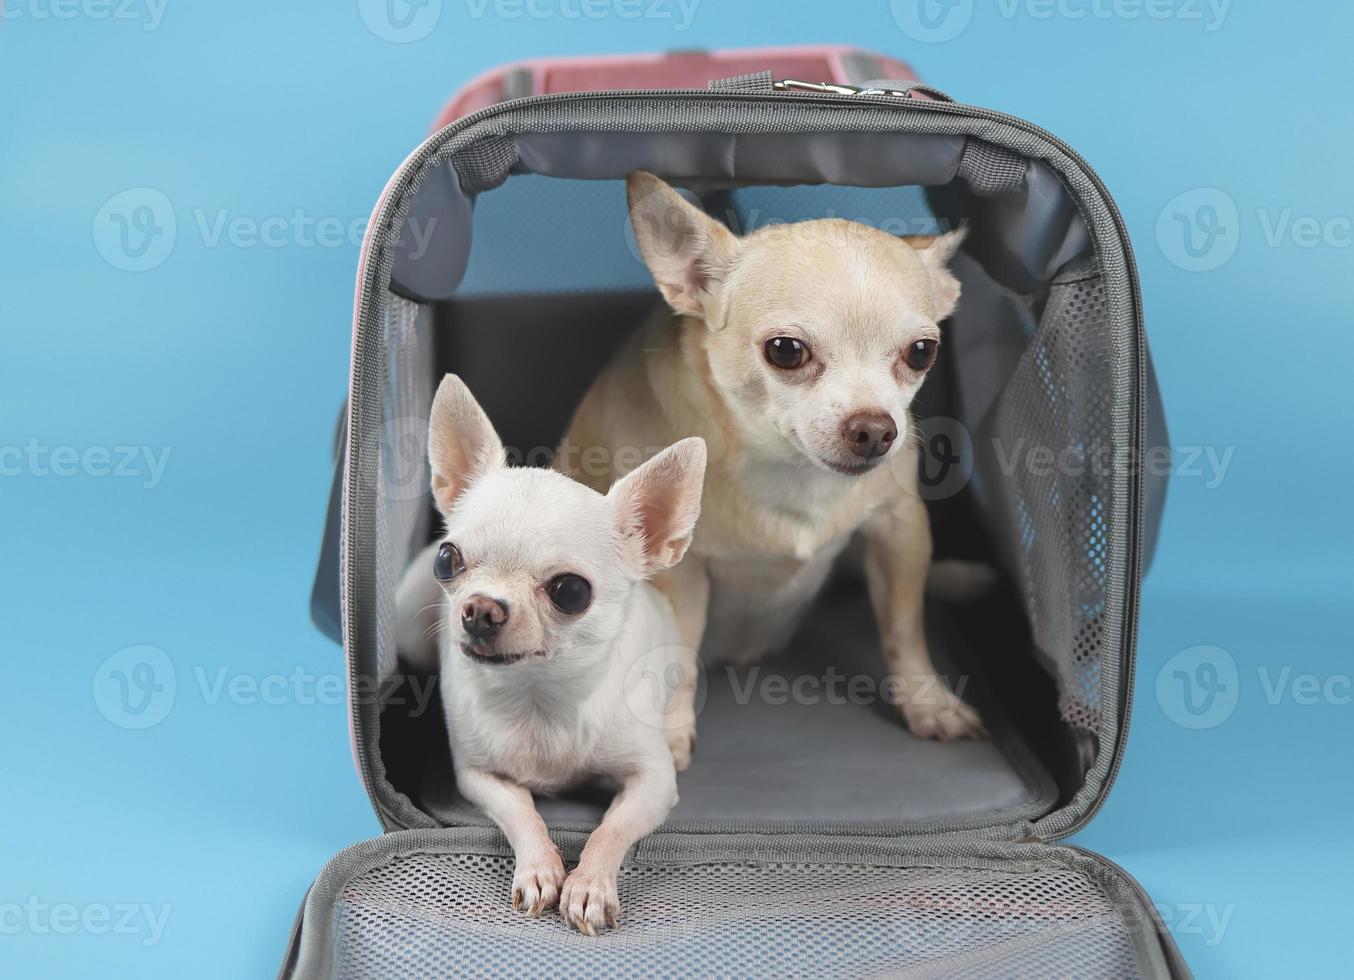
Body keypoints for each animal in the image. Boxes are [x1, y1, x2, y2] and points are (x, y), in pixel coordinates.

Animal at [422, 373, 704, 936]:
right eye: (447, 560)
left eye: (570, 591)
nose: (480, 610)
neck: (541, 695)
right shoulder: (479, 777)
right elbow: (522, 813)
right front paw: (540, 868)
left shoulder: (653, 781)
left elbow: (611, 829)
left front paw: (590, 884)